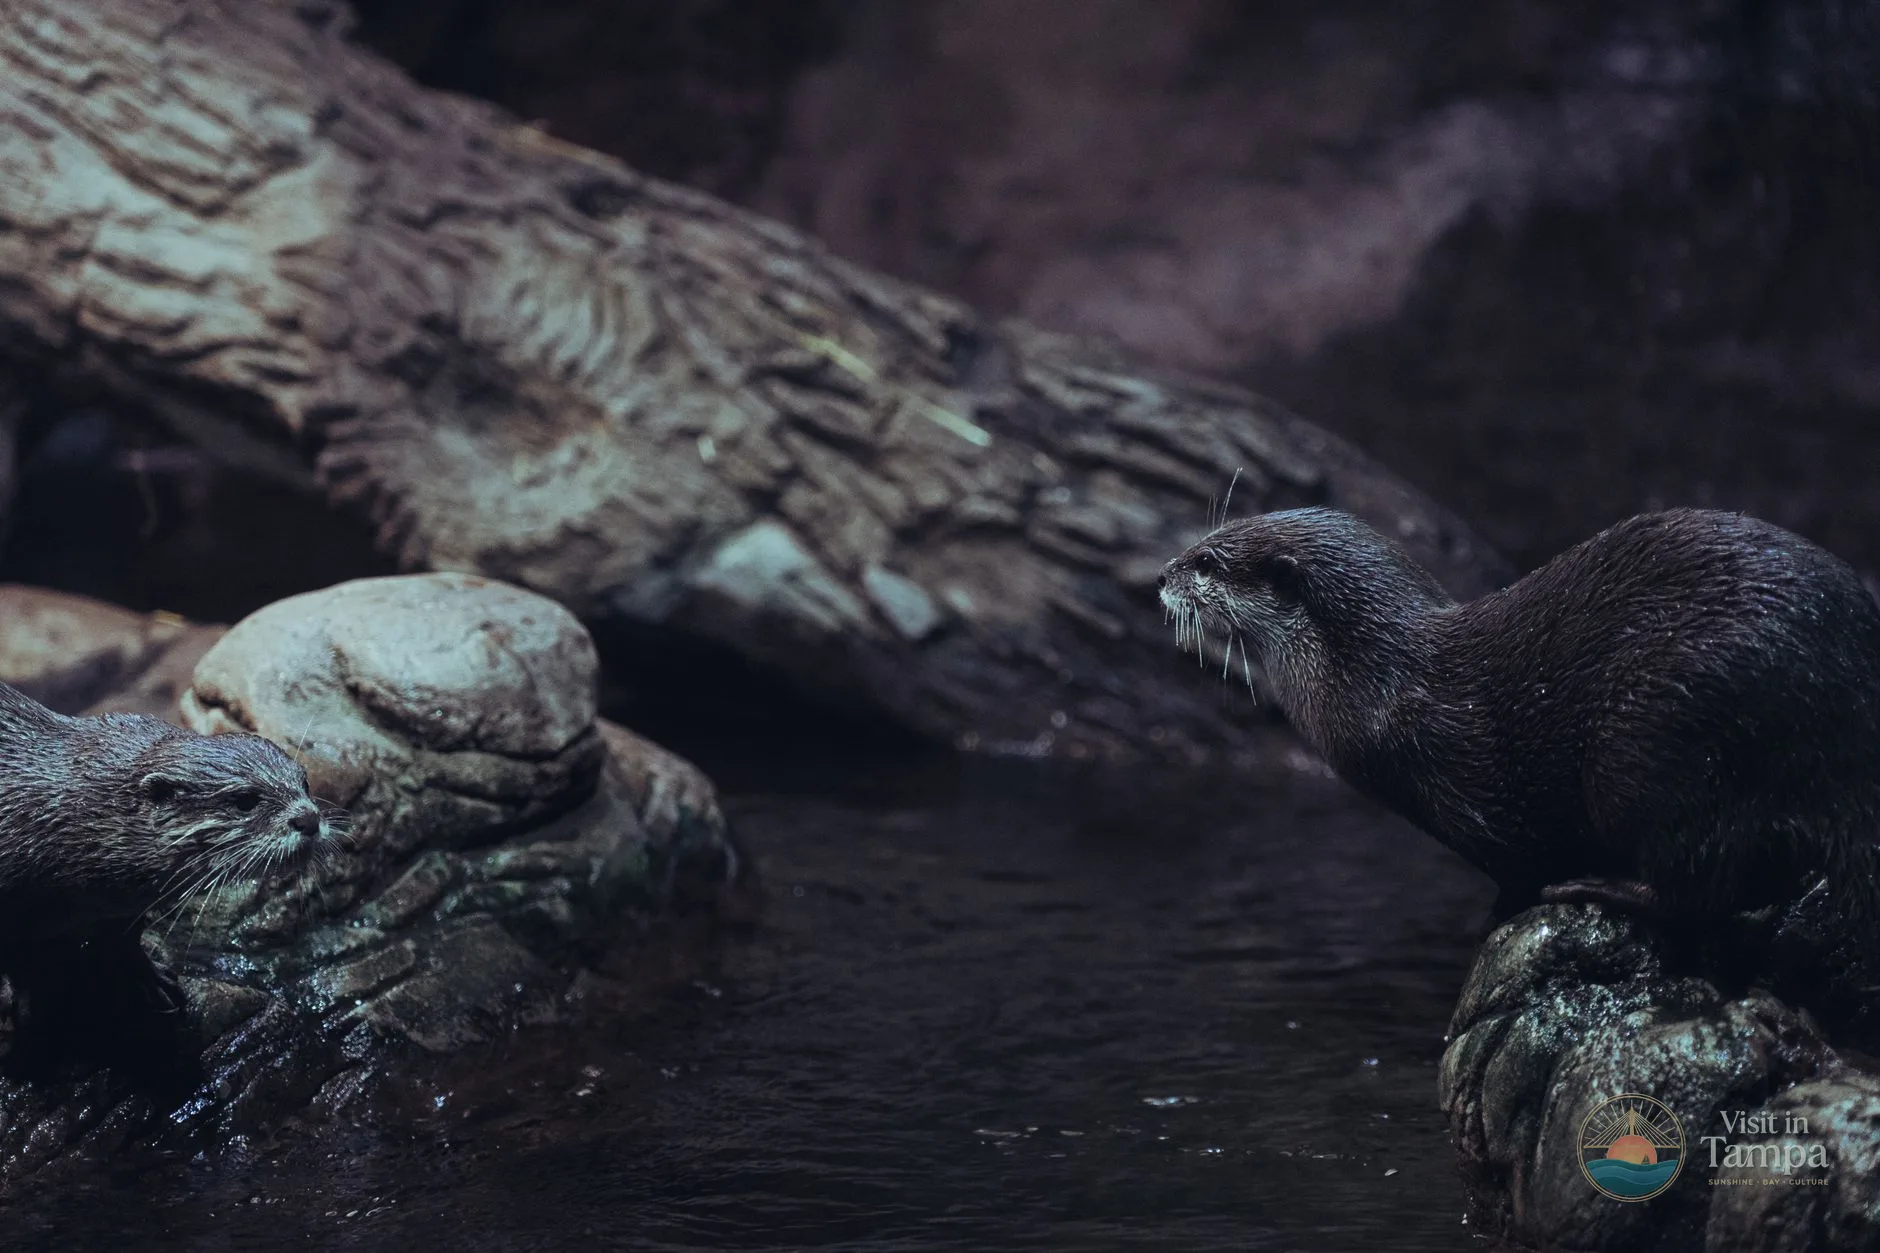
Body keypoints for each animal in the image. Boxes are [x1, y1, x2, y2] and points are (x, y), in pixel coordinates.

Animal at [0, 680, 339, 1073]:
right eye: (245, 800)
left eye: (305, 782)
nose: (308, 818)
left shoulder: (122, 905)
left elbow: (124, 937)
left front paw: (148, 977)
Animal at [1159, 508, 1880, 926]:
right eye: (1203, 541)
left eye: (1209, 561)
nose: (1163, 574)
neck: (1376, 682)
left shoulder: (1467, 774)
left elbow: (1519, 855)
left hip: (1656, 731)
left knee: (1697, 884)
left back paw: (1598, 887)